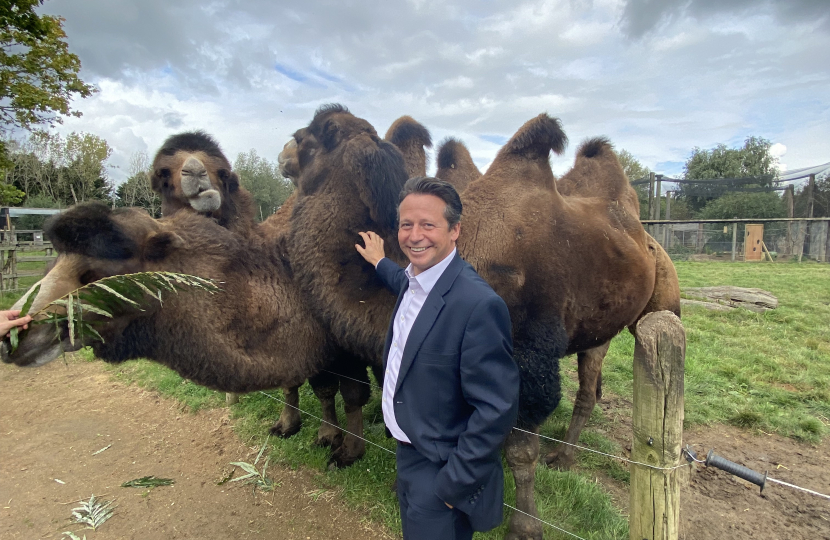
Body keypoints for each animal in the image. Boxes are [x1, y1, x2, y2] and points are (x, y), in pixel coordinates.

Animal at [282, 105, 684, 540]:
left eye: (318, 133)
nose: (284, 151)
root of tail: (646, 237)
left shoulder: (524, 360)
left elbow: (521, 450)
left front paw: (524, 526)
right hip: (599, 326)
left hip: (663, 304)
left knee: (592, 389)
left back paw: (563, 457)